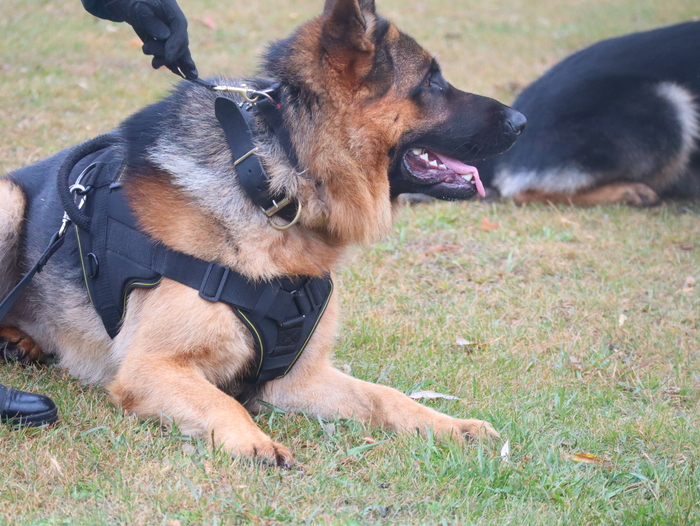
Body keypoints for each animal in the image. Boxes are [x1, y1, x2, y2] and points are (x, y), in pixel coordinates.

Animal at [0, 0, 525, 466]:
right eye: (432, 82)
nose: (522, 121)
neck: (273, 184)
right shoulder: (150, 367)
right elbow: (223, 399)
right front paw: (251, 440)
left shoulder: (299, 379)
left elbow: (386, 396)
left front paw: (449, 425)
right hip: (9, 200)